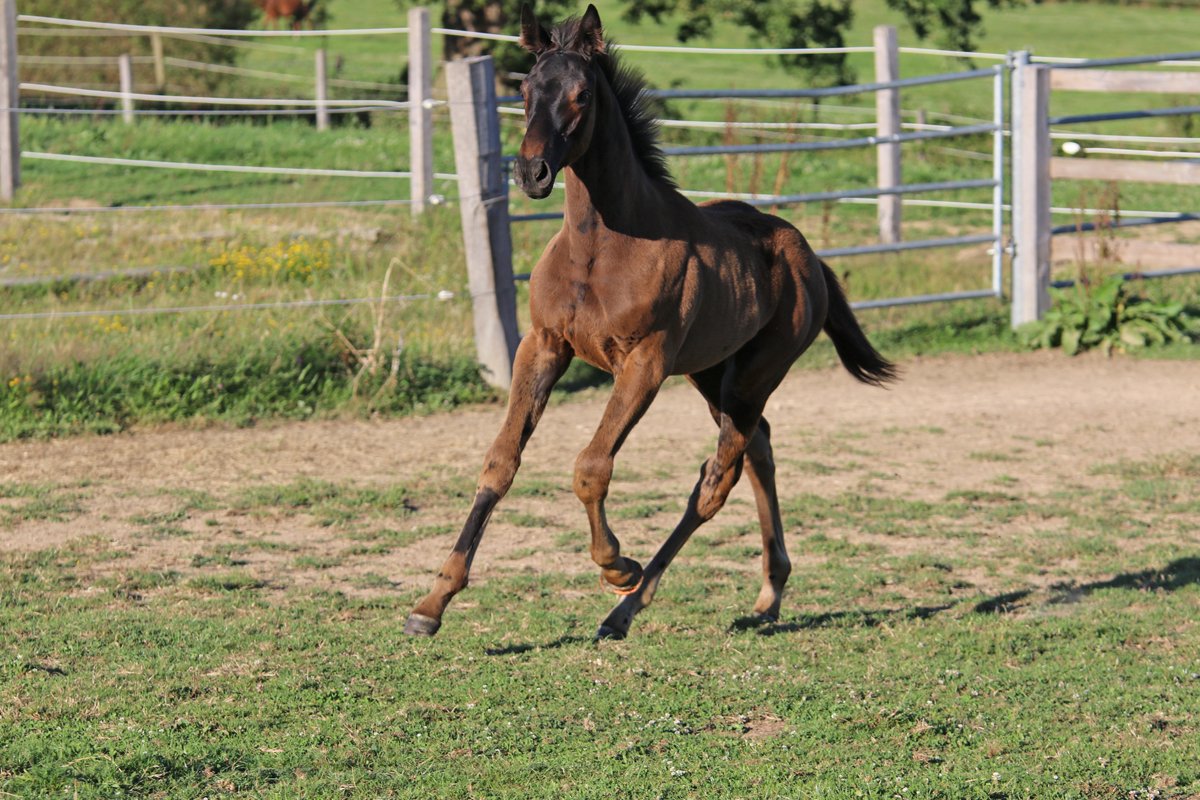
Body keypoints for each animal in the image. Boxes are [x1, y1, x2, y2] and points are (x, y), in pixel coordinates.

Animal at [404, 4, 897, 640]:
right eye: (524, 90)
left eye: (582, 94)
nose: (532, 172)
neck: (598, 251)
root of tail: (808, 256)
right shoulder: (542, 346)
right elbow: (500, 462)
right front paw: (431, 603)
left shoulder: (644, 364)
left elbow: (591, 468)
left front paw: (618, 566)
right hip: (713, 375)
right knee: (757, 450)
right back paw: (768, 596)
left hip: (753, 377)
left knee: (717, 479)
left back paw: (627, 605)